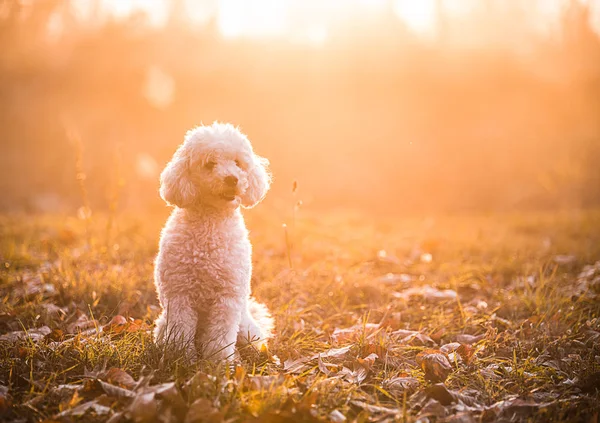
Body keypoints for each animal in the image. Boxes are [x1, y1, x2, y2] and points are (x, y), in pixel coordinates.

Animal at [155, 121, 276, 362]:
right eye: (210, 164)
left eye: (238, 163)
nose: (232, 178)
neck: (211, 222)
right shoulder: (179, 296)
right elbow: (180, 331)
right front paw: (181, 359)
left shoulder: (227, 298)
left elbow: (220, 337)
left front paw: (219, 363)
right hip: (162, 324)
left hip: (246, 327)